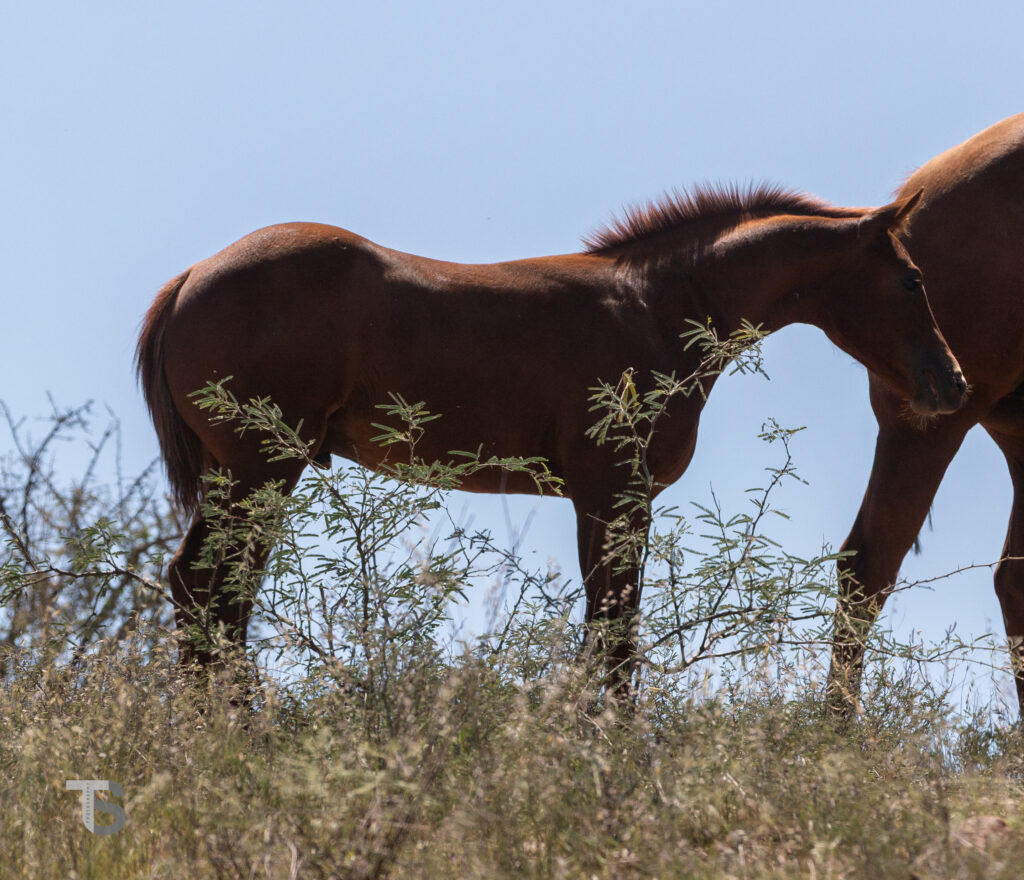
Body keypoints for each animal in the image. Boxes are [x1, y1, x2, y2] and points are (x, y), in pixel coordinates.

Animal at [137, 183, 967, 684]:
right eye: (912, 279)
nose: (953, 383)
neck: (658, 307)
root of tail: (189, 278)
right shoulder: (612, 491)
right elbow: (614, 632)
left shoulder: (611, 499)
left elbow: (609, 628)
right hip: (260, 471)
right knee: (216, 594)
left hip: (238, 475)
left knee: (200, 591)